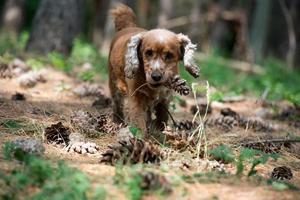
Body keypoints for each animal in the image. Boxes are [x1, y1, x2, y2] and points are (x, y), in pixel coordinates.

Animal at [108, 4, 199, 136]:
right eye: (148, 53)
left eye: (169, 55)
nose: (156, 76)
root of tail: (128, 27)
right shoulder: (136, 95)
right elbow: (137, 116)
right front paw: (140, 134)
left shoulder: (166, 96)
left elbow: (163, 114)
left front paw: (158, 129)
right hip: (114, 84)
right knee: (117, 104)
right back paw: (117, 121)